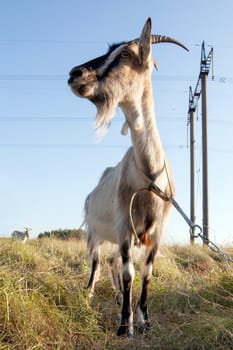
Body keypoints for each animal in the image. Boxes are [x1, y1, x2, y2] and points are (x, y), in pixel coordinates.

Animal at [68, 17, 188, 338]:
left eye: (124, 54)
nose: (74, 74)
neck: (149, 176)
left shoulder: (156, 232)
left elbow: (146, 273)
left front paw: (144, 318)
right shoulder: (124, 226)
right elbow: (128, 272)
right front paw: (125, 325)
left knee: (109, 263)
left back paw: (119, 296)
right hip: (94, 232)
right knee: (97, 263)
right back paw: (88, 296)